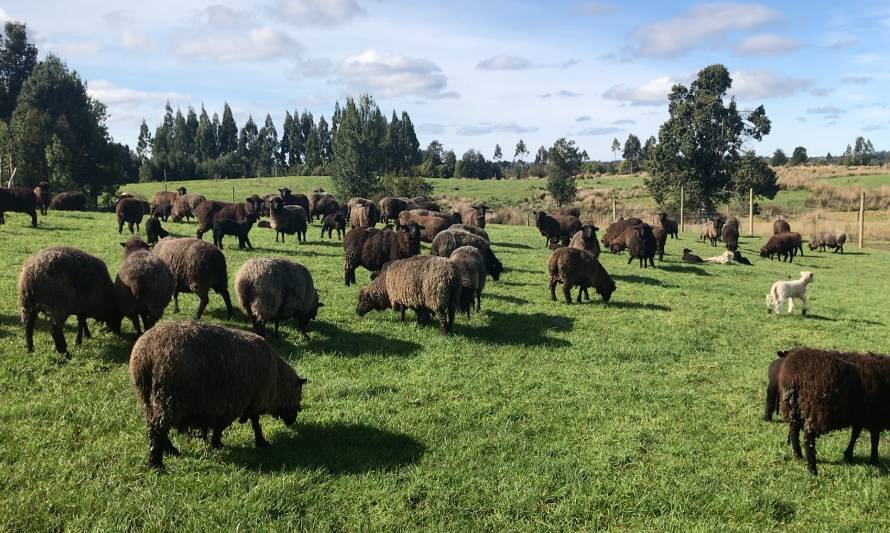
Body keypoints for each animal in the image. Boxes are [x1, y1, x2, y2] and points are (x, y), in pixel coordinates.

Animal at [128, 318, 306, 468]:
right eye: (298, 395)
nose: (293, 420)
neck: (277, 381)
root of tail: (146, 355)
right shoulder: (248, 401)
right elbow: (254, 424)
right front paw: (261, 442)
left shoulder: (224, 405)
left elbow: (222, 426)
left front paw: (216, 443)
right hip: (169, 398)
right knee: (157, 430)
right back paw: (156, 464)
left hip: (147, 399)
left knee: (154, 427)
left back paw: (171, 451)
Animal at [772, 344, 888, 474]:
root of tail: (794, 376)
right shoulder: (875, 416)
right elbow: (874, 440)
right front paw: (874, 460)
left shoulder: (860, 415)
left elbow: (856, 434)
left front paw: (848, 454)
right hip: (813, 410)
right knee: (808, 439)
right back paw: (812, 469)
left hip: (792, 408)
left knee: (794, 432)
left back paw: (798, 456)